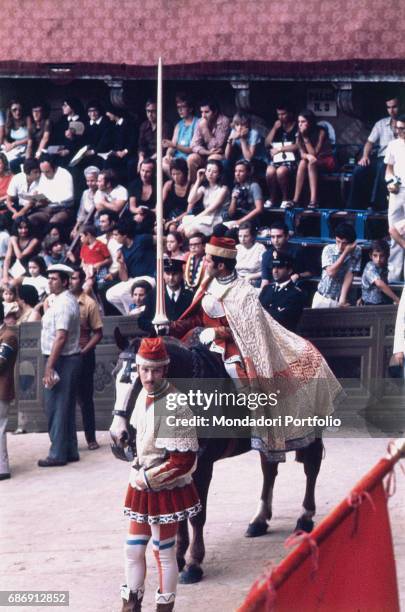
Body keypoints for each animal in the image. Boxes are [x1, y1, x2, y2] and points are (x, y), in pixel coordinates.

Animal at [109, 330, 322, 584]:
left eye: (141, 381)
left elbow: (196, 516)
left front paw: (194, 563)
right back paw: (259, 520)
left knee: (311, 468)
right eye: (114, 375)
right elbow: (179, 513)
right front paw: (178, 557)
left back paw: (305, 517)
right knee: (269, 470)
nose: (118, 437)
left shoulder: (203, 466)